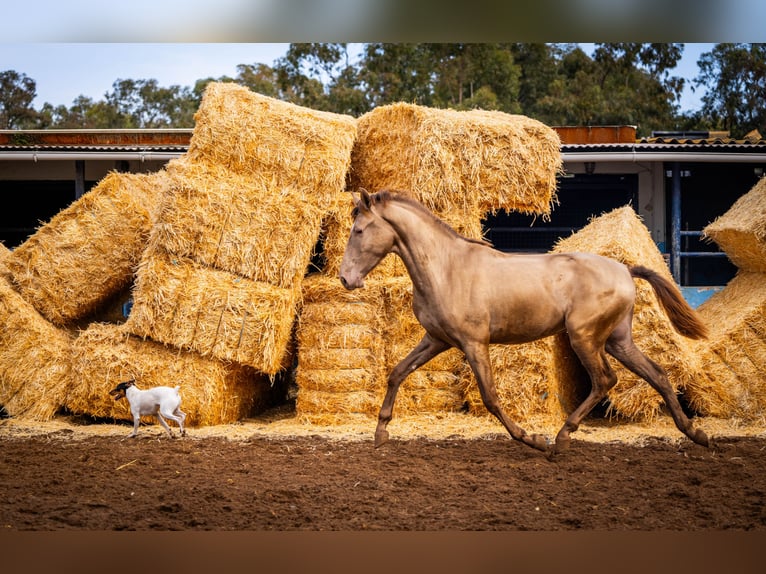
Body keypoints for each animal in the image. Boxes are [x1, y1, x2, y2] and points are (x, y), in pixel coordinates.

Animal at [340, 190, 712, 460]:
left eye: (358, 231)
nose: (346, 278)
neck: (446, 269)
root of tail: (625, 269)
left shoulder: (474, 343)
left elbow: (490, 397)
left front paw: (533, 439)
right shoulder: (436, 339)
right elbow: (397, 372)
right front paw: (381, 434)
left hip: (585, 338)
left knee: (605, 380)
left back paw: (561, 440)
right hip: (617, 340)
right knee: (657, 373)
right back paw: (696, 434)